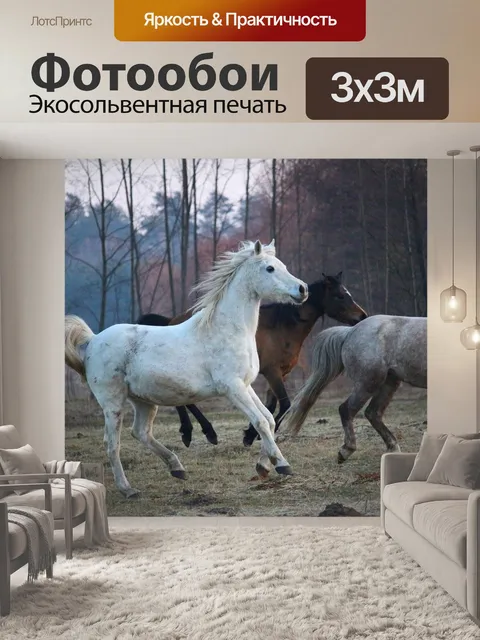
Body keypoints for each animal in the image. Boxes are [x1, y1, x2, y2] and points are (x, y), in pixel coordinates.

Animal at [65, 240, 308, 498]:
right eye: (269, 268)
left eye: (282, 265)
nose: (302, 289)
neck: (227, 329)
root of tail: (92, 341)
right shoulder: (232, 388)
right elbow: (260, 422)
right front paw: (282, 464)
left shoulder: (245, 385)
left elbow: (268, 420)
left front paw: (263, 466)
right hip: (113, 404)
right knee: (112, 444)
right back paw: (128, 488)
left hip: (143, 400)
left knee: (141, 432)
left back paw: (177, 468)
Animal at [137, 272, 368, 448]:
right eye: (340, 295)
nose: (362, 316)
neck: (282, 326)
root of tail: (172, 321)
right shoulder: (273, 373)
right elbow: (284, 404)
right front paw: (253, 435)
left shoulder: (280, 374)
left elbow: (271, 404)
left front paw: (251, 434)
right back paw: (202, 432)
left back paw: (193, 432)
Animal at [281, 315, 426, 463]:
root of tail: (350, 331)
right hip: (368, 383)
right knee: (347, 410)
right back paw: (346, 450)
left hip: (388, 382)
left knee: (373, 413)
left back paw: (393, 448)